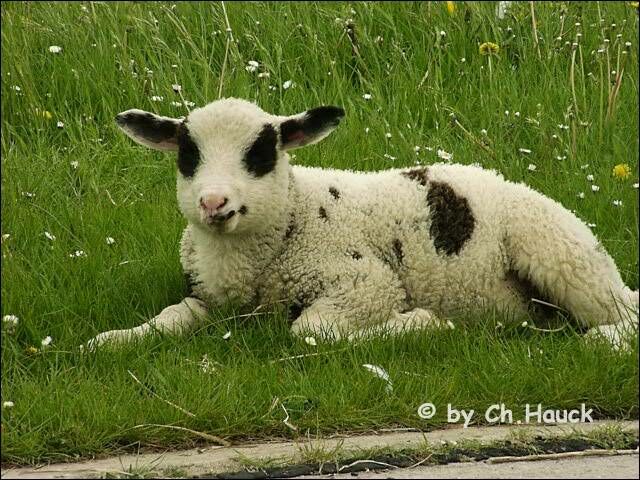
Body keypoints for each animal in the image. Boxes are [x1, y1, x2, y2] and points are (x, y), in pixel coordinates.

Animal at [85, 98, 638, 350]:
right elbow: (170, 317)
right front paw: (110, 341)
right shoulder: (207, 297)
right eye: (189, 156)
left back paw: (602, 341)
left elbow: (313, 330)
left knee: (624, 312)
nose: (214, 203)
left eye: (261, 154)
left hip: (560, 253)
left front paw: (419, 323)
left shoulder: (366, 281)